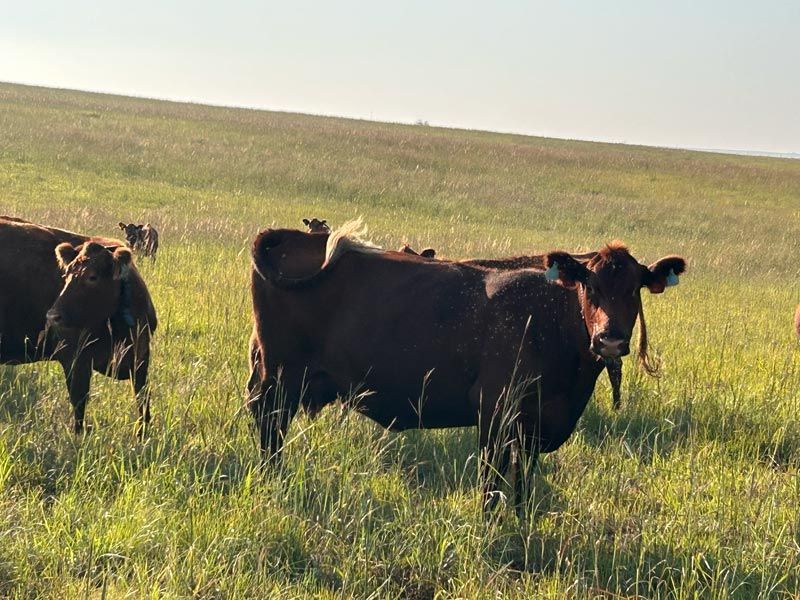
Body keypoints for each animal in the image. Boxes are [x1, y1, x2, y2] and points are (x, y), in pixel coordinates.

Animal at [1, 216, 157, 434]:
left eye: (92, 277)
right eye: (65, 275)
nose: (52, 315)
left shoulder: (141, 358)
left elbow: (143, 401)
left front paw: (143, 435)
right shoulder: (75, 360)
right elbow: (79, 404)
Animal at [248, 221, 685, 506]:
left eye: (634, 289)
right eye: (589, 285)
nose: (609, 338)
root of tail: (293, 235)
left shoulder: (530, 426)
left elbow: (521, 484)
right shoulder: (495, 410)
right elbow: (491, 481)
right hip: (281, 378)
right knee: (270, 426)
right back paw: (274, 480)